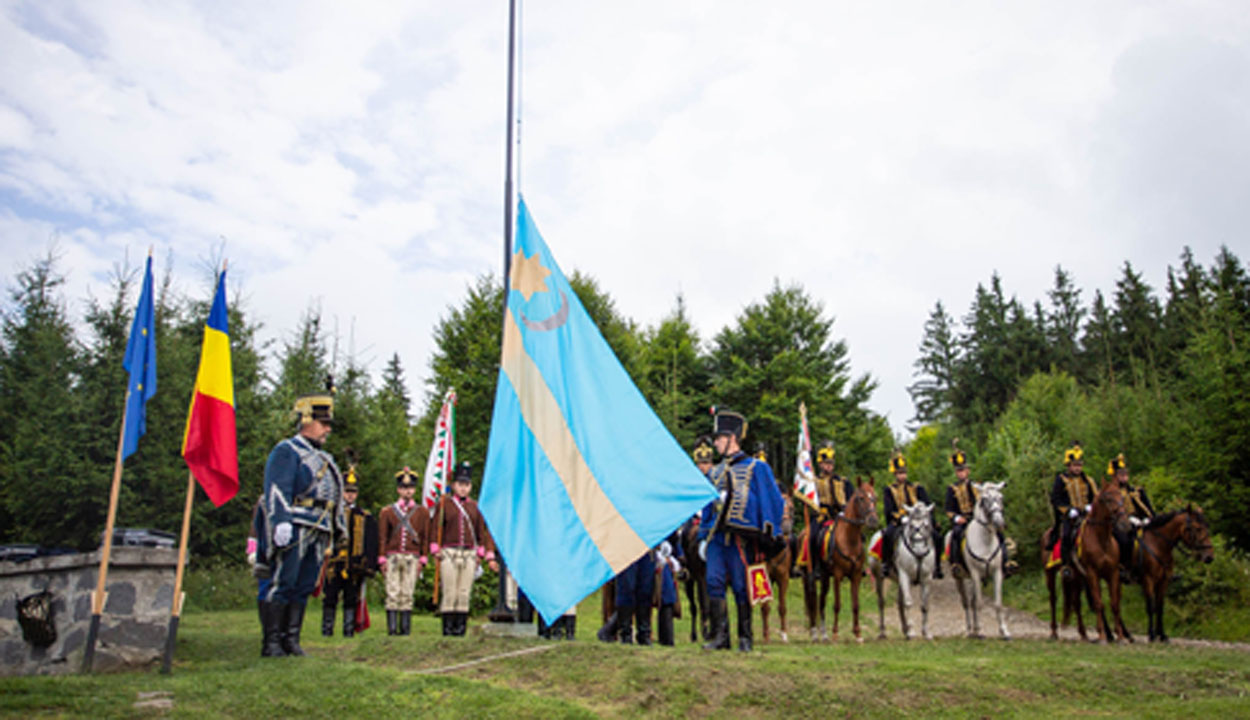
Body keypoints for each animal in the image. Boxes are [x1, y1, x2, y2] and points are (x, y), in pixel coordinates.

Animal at [800, 480, 880, 645]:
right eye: (860, 498)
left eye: (874, 497)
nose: (873, 520)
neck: (849, 539)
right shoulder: (837, 575)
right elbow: (837, 604)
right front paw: (836, 634)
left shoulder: (856, 575)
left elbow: (855, 605)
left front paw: (858, 634)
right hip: (808, 577)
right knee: (812, 601)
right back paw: (814, 634)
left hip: (825, 577)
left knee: (821, 601)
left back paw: (823, 635)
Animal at [870, 500, 940, 640]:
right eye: (911, 526)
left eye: (926, 525)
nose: (919, 550)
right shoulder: (905, 575)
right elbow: (908, 602)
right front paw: (912, 632)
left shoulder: (927, 578)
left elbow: (925, 604)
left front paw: (926, 632)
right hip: (879, 577)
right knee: (881, 602)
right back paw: (883, 632)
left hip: (899, 580)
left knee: (899, 603)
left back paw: (905, 629)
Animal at [950, 480, 1010, 637]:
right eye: (984, 499)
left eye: (1001, 497)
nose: (999, 522)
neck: (985, 541)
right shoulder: (975, 574)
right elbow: (979, 603)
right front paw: (981, 630)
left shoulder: (997, 573)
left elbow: (998, 603)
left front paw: (1004, 631)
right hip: (960, 578)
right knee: (966, 602)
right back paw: (969, 629)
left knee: (971, 601)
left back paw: (975, 628)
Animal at [1135, 505, 1210, 640]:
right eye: (1198, 528)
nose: (1209, 557)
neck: (1158, 544)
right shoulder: (1148, 580)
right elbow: (1150, 607)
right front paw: (1151, 634)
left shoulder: (1163, 581)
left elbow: (1160, 607)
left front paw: (1161, 634)